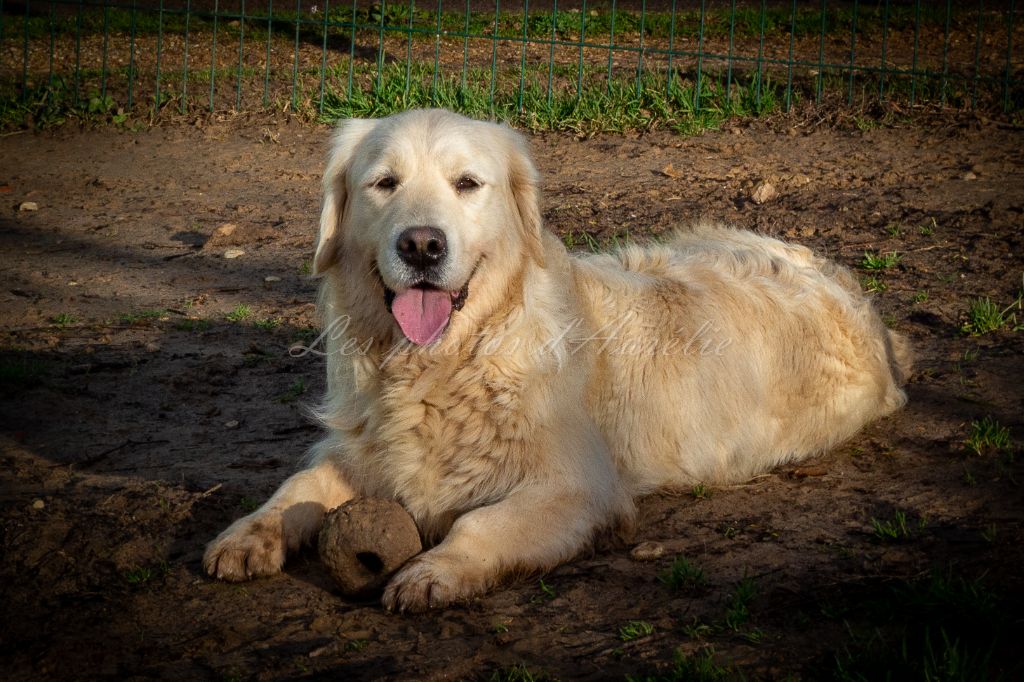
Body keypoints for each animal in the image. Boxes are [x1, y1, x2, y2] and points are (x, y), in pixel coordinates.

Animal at [201, 107, 913, 610]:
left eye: (467, 184)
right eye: (384, 183)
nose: (422, 246)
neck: (443, 365)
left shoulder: (578, 489)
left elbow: (482, 524)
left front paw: (435, 570)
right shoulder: (356, 447)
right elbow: (298, 487)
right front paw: (249, 534)